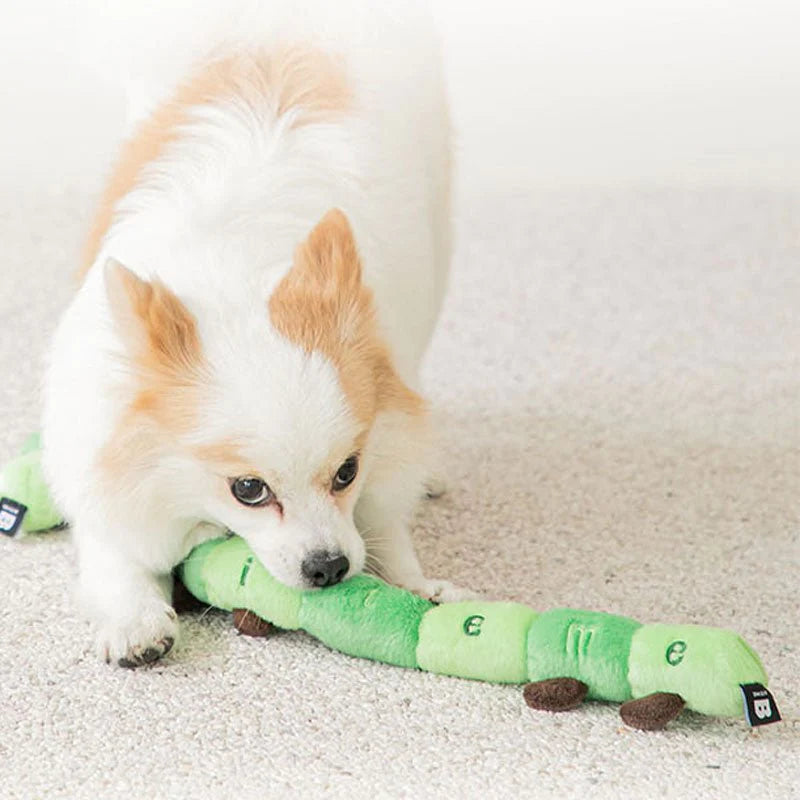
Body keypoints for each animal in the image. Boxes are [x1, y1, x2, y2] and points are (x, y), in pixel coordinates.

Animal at [42, 0, 468, 664]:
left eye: (347, 472)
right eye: (249, 490)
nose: (329, 566)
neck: (235, 276)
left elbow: (387, 517)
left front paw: (415, 584)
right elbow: (116, 557)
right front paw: (135, 620)